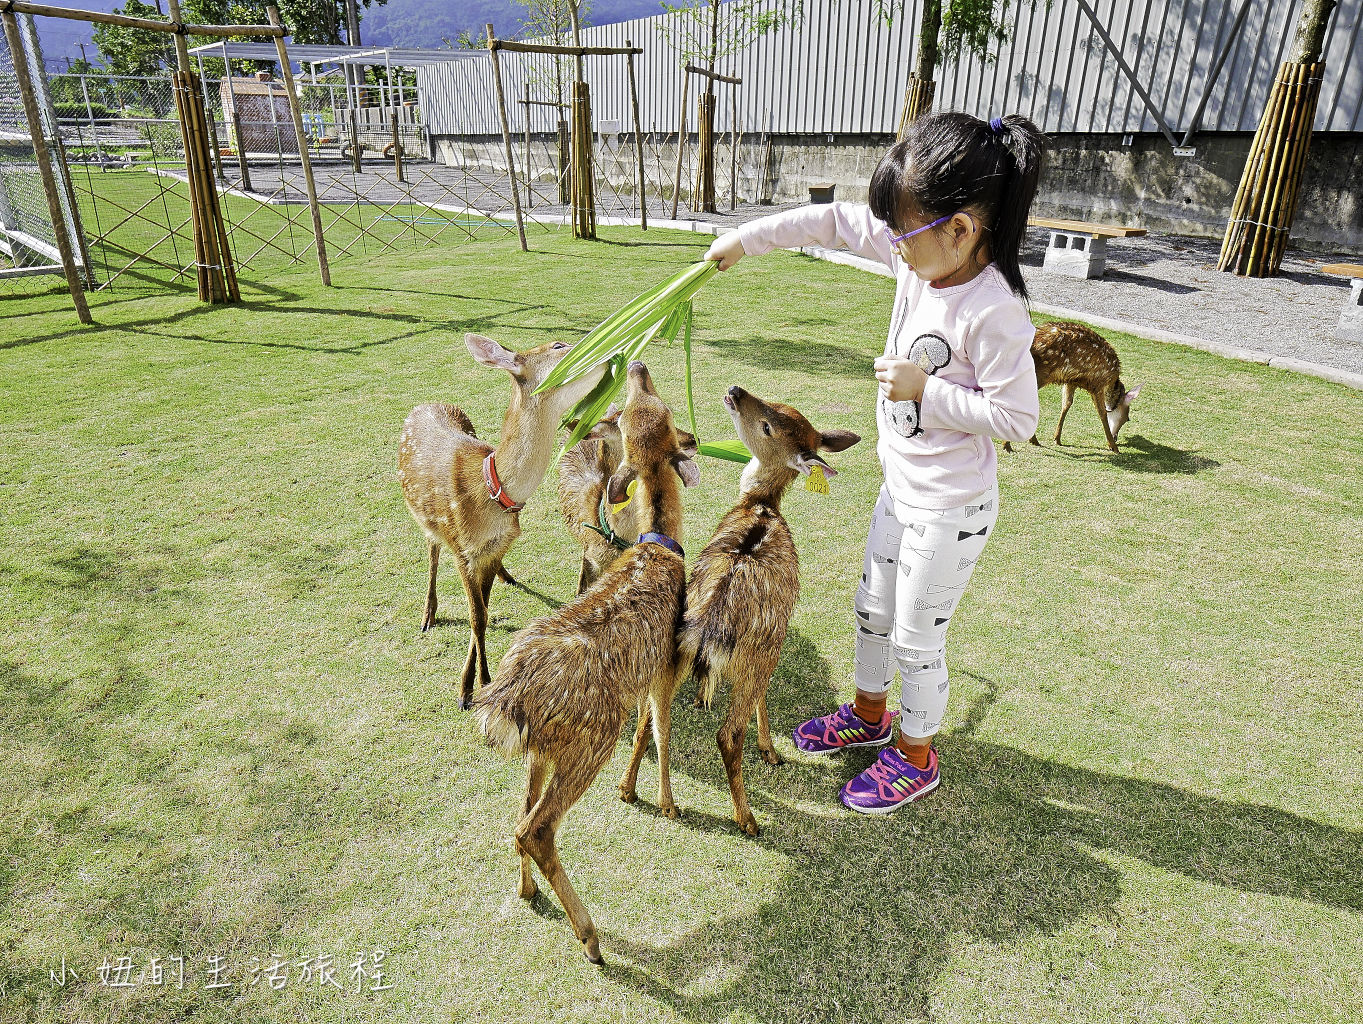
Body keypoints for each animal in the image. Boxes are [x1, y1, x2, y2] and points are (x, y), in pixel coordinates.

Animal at [397, 336, 605, 714]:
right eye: (558, 345)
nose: (609, 350)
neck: (492, 493)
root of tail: (425, 403)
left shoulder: (496, 548)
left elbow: (484, 608)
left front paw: (479, 682)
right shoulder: (463, 550)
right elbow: (476, 616)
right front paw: (469, 690)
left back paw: (508, 576)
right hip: (425, 516)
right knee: (432, 550)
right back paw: (428, 614)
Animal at [624, 387, 855, 834]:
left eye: (769, 424)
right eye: (773, 413)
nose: (734, 391)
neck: (761, 506)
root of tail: (709, 626)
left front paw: (702, 698)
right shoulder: (776, 639)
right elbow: (764, 698)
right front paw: (770, 751)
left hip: (673, 652)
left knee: (650, 719)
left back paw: (633, 792)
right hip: (756, 653)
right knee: (729, 734)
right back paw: (746, 816)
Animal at [1003, 316, 1139, 452]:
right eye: (1127, 418)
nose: (1116, 438)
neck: (1111, 383)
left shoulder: (1071, 381)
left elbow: (1066, 404)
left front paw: (1057, 439)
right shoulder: (1097, 384)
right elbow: (1102, 413)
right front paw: (1113, 447)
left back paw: (1029, 441)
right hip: (1039, 373)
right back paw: (1009, 444)